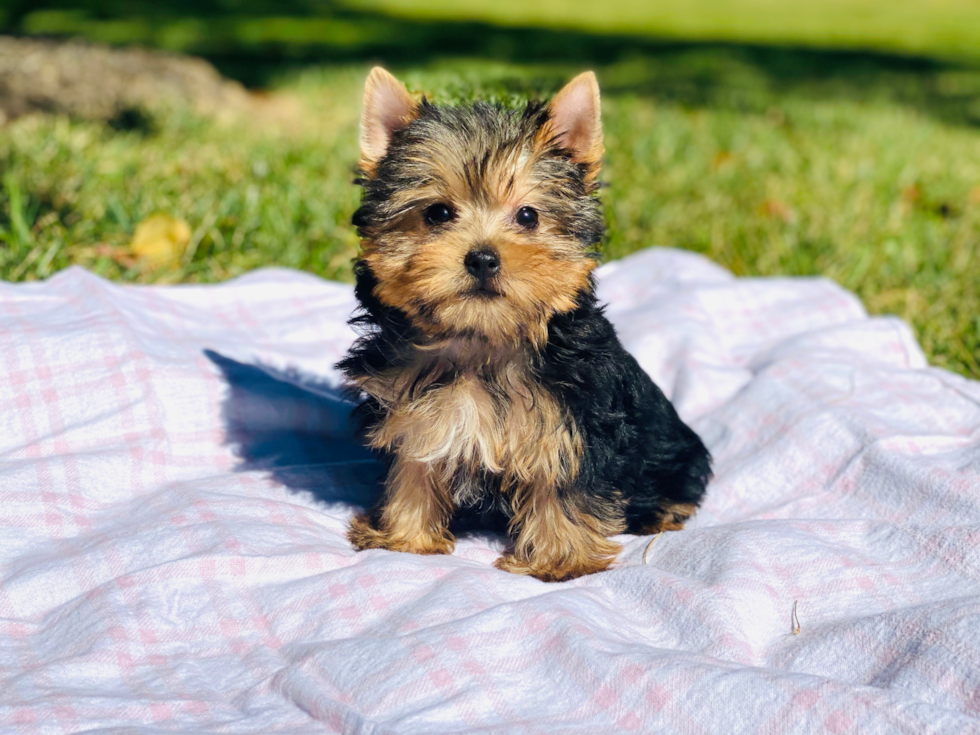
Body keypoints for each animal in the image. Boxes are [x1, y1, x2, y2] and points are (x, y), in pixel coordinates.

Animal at [338, 67, 712, 580]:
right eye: (437, 213)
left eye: (528, 215)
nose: (482, 257)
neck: (481, 342)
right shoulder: (415, 412)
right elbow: (413, 467)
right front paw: (404, 537)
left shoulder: (573, 423)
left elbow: (564, 486)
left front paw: (560, 561)